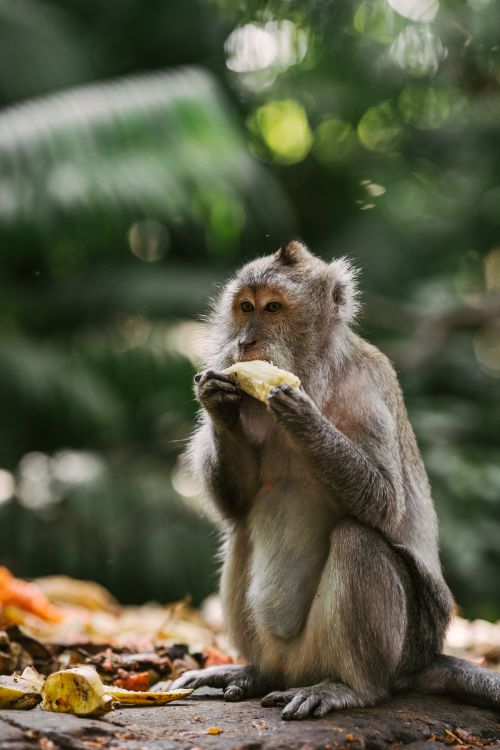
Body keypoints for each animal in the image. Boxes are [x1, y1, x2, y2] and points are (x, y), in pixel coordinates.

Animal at [171, 240, 500, 719]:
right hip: (286, 654)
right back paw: (254, 673)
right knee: (240, 532)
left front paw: (301, 414)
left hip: (399, 648)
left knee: (356, 540)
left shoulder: (368, 390)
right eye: (245, 307)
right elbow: (236, 502)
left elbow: (386, 502)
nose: (245, 341)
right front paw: (219, 403)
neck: (314, 370)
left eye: (272, 308)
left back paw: (352, 688)